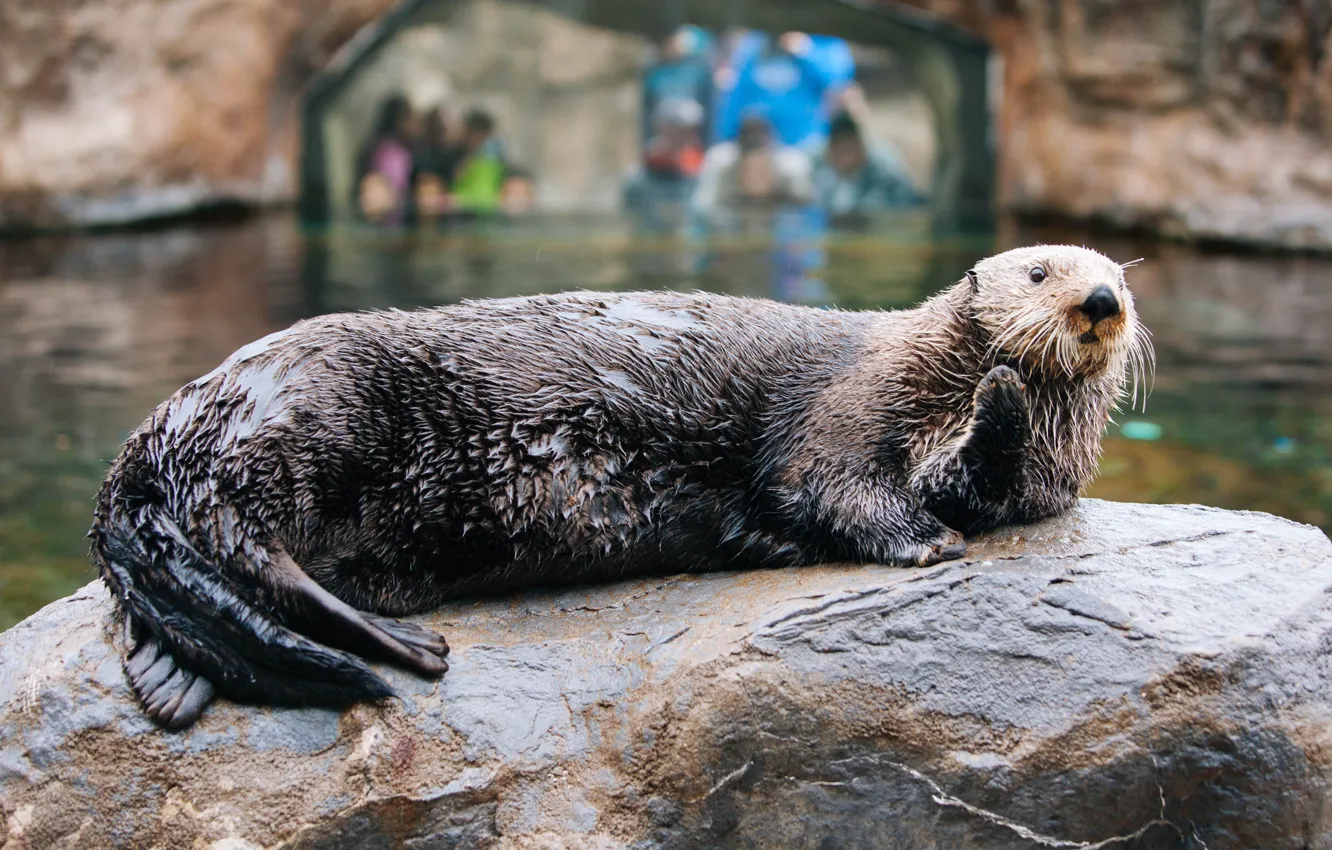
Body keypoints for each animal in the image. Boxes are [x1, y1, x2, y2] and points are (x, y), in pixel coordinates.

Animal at [90, 245, 1151, 729]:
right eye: (1041, 270)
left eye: (1118, 275)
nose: (1102, 300)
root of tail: (170, 422)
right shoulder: (851, 408)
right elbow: (830, 485)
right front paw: (934, 522)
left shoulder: (1018, 488)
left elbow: (980, 487)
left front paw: (997, 416)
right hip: (306, 414)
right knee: (239, 541)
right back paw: (405, 652)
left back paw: (174, 682)